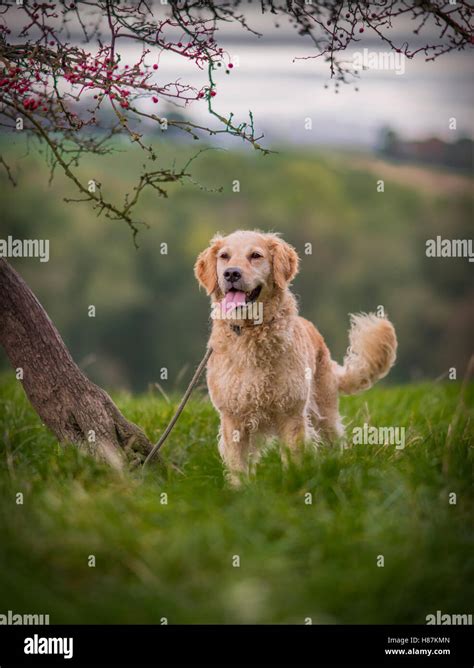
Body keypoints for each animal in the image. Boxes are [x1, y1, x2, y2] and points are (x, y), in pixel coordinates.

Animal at [193, 230, 396, 486]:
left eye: (255, 255)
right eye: (224, 256)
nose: (231, 274)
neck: (251, 333)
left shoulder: (291, 414)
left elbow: (294, 460)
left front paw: (294, 487)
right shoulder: (233, 418)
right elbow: (238, 466)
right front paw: (240, 490)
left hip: (325, 412)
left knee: (336, 441)